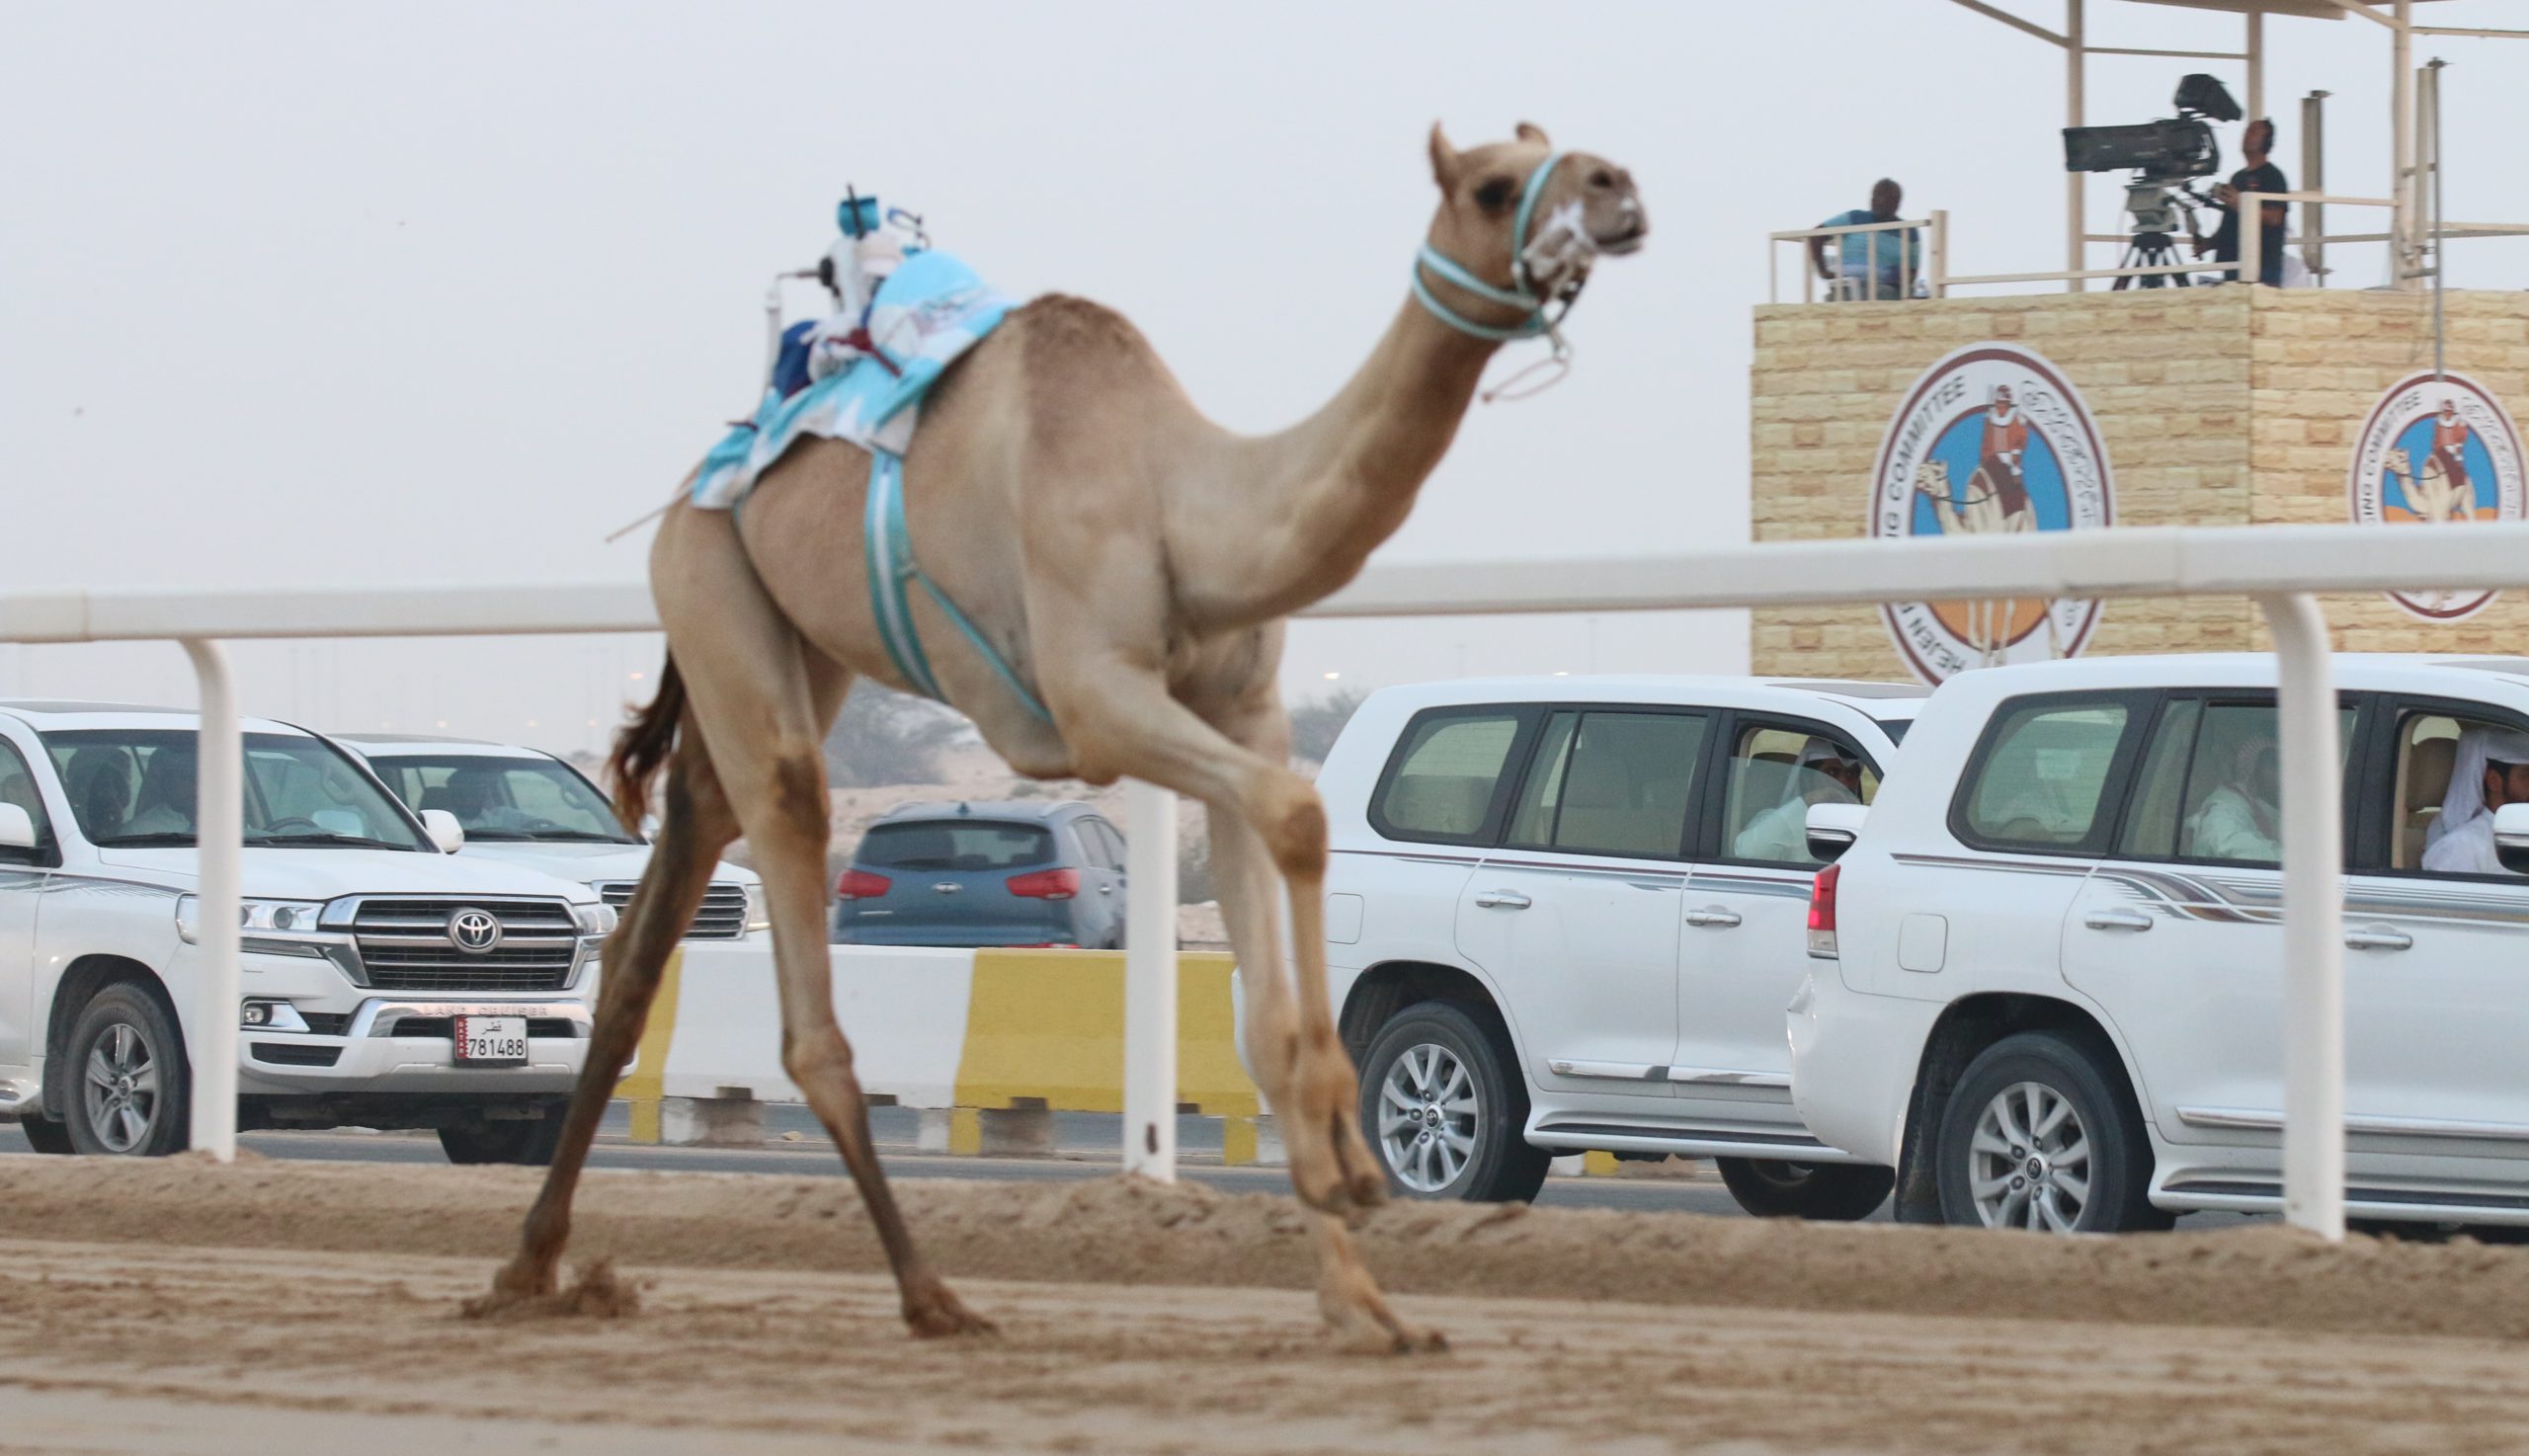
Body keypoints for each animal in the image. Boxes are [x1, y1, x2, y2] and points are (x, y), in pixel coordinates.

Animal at [470, 124, 1659, 1354]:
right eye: (1492, 185)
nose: (1616, 188)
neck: (1187, 509)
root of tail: (700, 483)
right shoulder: (1095, 698)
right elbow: (1299, 811)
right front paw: (1349, 1163)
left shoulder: (1241, 708)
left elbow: (1272, 965)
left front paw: (1367, 1301)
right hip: (709, 587)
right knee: (799, 946)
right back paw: (930, 1294)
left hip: (785, 650)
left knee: (646, 928)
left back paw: (533, 1265)